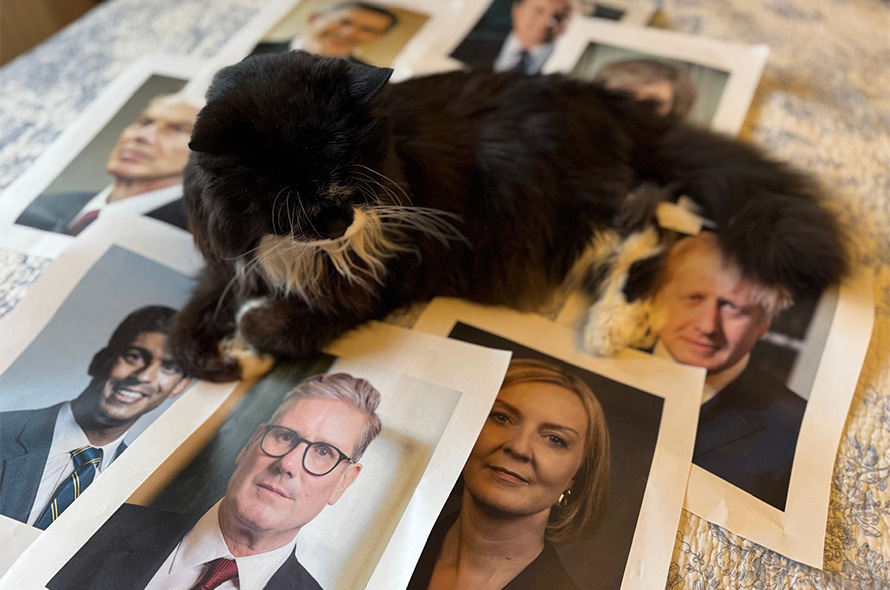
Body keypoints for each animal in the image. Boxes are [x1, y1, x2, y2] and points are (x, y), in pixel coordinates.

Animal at [168, 52, 848, 384]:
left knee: (649, 228)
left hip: (571, 215)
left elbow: (288, 325)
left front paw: (248, 339)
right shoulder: (228, 265)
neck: (294, 252)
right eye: (298, 202)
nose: (341, 223)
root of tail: (604, 100)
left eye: (351, 178)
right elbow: (189, 322)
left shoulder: (378, 275)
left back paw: (609, 331)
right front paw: (218, 358)